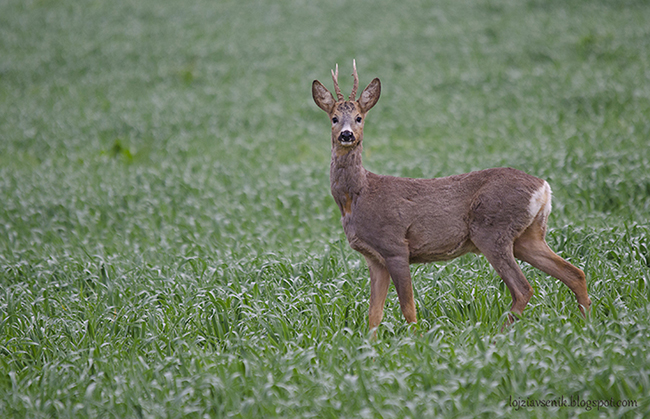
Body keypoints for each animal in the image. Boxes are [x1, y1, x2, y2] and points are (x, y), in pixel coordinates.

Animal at [312, 60, 588, 334]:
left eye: (359, 118)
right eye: (334, 118)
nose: (346, 135)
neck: (357, 197)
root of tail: (544, 188)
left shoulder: (395, 246)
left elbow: (408, 309)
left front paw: (415, 340)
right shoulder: (374, 258)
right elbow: (374, 315)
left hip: (492, 231)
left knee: (523, 289)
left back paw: (498, 335)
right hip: (527, 236)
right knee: (574, 273)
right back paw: (587, 323)